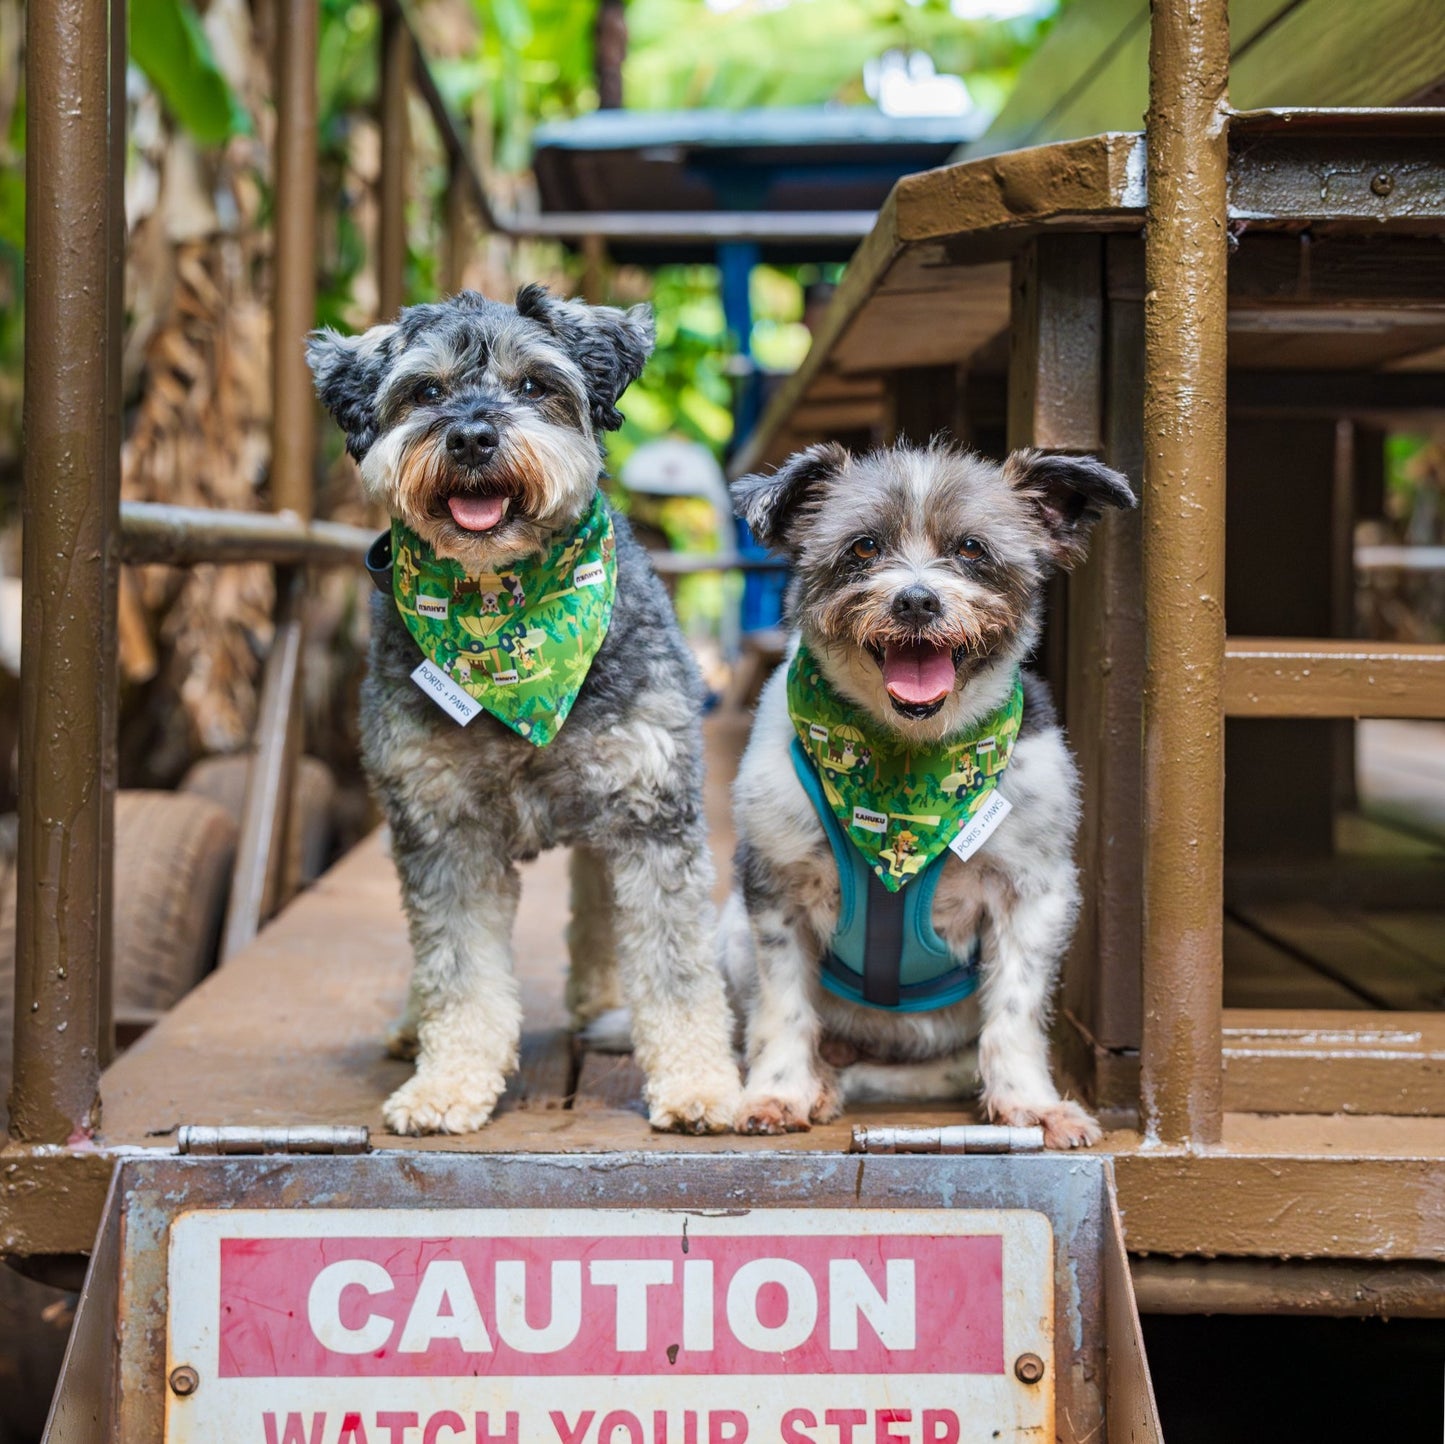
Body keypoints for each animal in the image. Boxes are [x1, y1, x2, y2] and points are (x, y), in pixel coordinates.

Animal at [303, 284, 734, 1139]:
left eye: (535, 384)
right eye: (424, 391)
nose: (471, 435)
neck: (499, 607)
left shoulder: (651, 813)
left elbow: (676, 964)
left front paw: (700, 1084)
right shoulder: (443, 830)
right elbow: (461, 972)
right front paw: (446, 1084)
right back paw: (415, 1025)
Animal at [728, 439, 1132, 1150]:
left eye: (971, 548)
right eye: (863, 546)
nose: (917, 602)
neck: (905, 762)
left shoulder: (1035, 893)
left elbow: (1016, 1009)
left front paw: (1030, 1105)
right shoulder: (773, 885)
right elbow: (783, 1004)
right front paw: (778, 1091)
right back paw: (817, 1082)